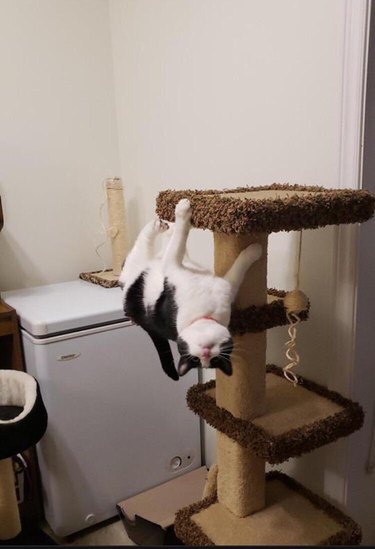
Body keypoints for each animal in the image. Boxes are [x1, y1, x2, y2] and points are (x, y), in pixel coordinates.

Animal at [119, 198, 262, 382]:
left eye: (214, 360)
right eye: (195, 359)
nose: (205, 354)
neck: (204, 313)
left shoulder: (226, 285)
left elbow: (237, 270)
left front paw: (254, 251)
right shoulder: (174, 268)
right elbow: (178, 245)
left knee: (156, 248)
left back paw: (164, 226)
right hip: (138, 268)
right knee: (148, 246)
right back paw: (162, 225)